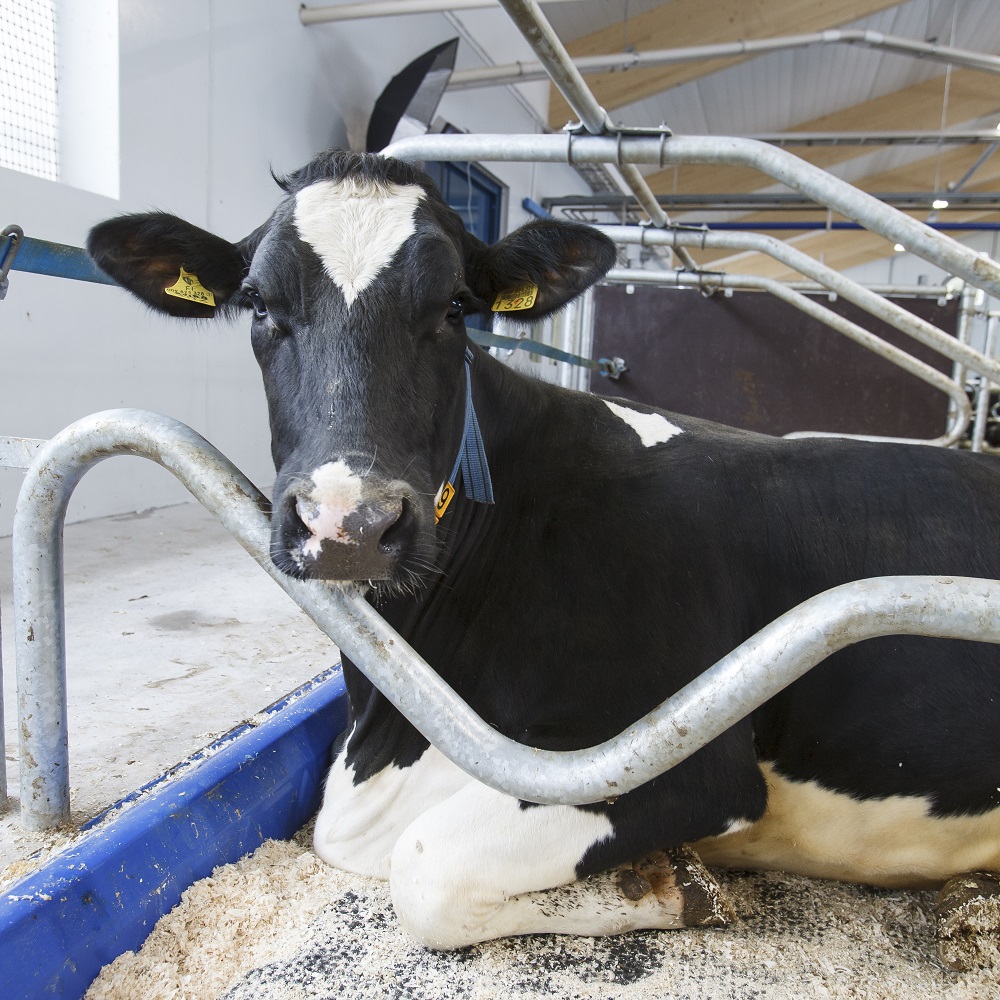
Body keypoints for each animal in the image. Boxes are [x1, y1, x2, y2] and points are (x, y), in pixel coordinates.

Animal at [88, 150, 1000, 969]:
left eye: (457, 307)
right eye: (257, 303)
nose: (350, 523)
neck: (390, 732)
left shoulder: (684, 762)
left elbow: (424, 871)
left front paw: (670, 887)